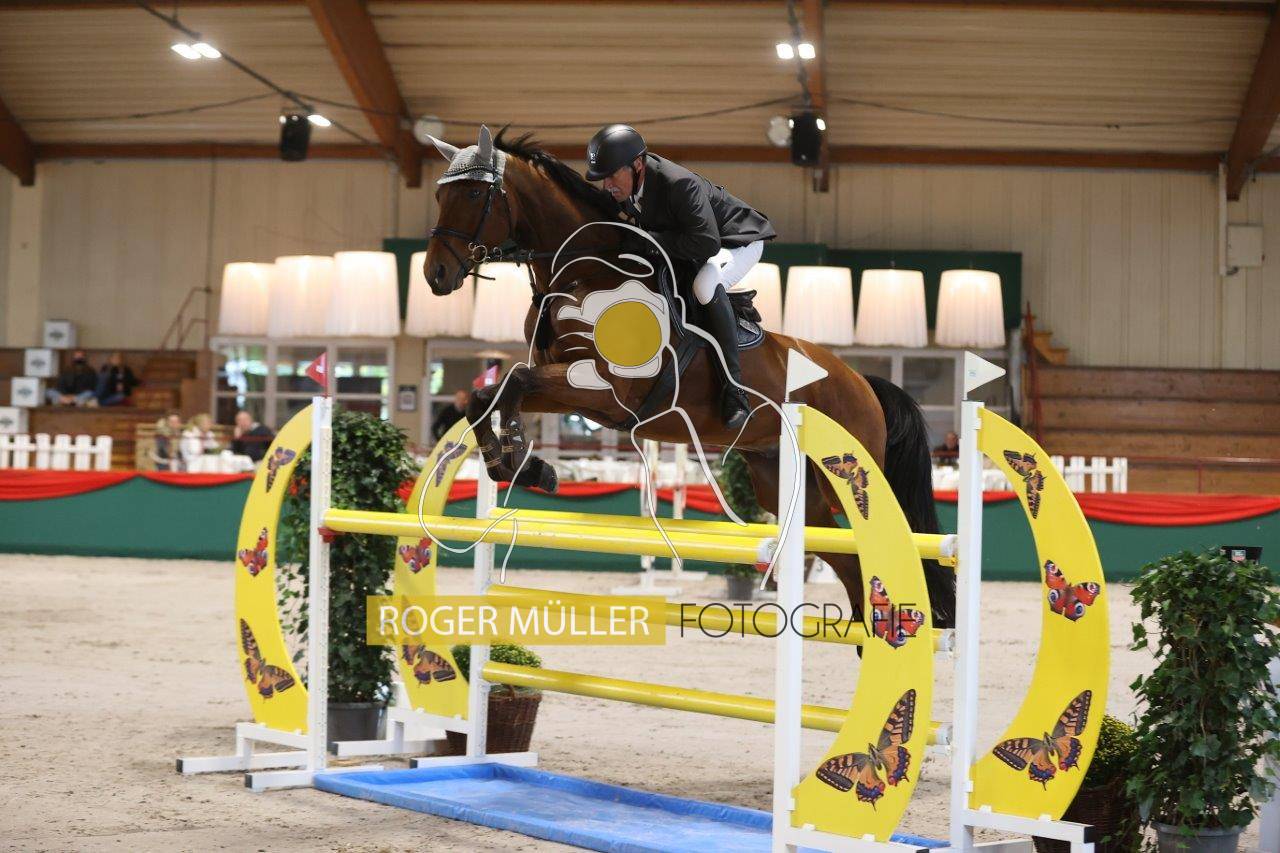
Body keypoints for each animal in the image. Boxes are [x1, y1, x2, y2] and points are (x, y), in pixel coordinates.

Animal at [422, 126, 954, 628]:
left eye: (475, 195)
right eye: (439, 196)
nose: (436, 275)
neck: (583, 275)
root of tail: (862, 382)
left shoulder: (603, 390)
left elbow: (514, 383)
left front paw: (522, 458)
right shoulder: (570, 390)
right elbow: (490, 395)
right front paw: (514, 463)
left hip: (848, 470)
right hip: (784, 480)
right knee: (845, 558)